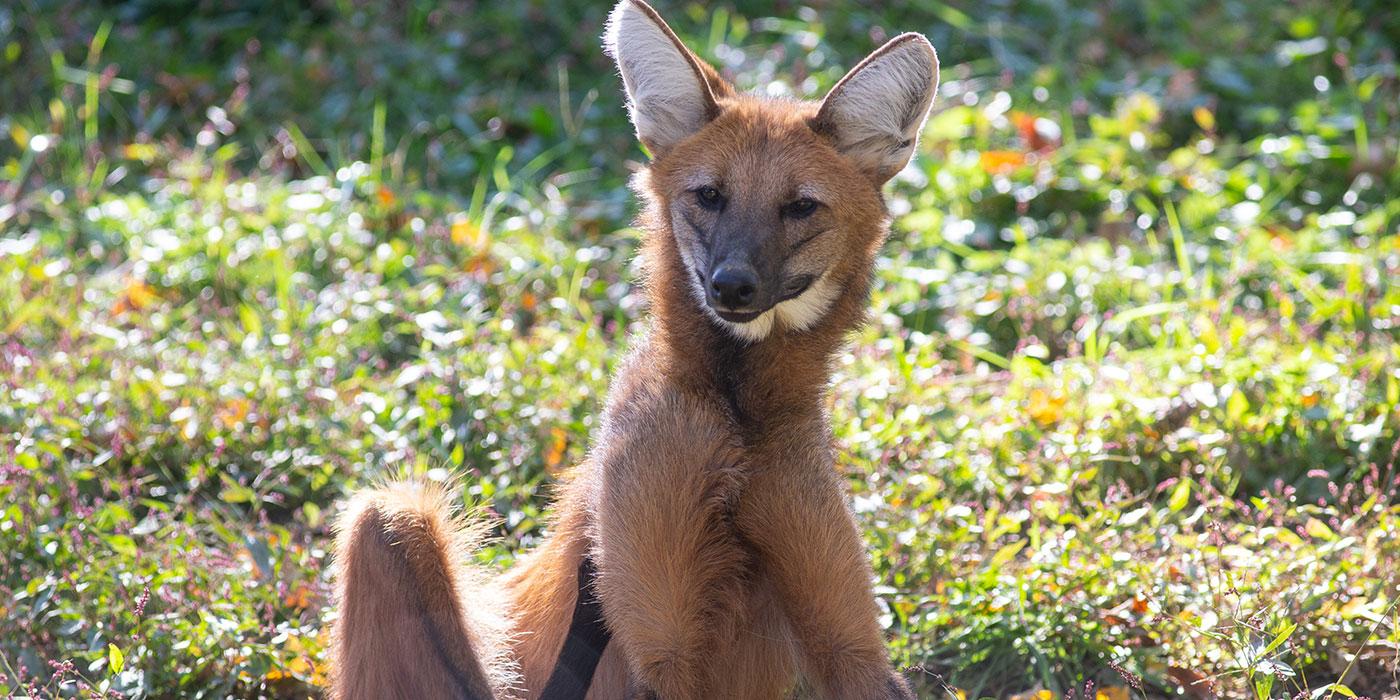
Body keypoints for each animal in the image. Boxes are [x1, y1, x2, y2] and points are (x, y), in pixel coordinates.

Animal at [329, 2, 940, 697]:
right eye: (709, 195)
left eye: (801, 207)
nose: (732, 285)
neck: (738, 418)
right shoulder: (658, 648)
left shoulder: (850, 645)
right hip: (393, 520)